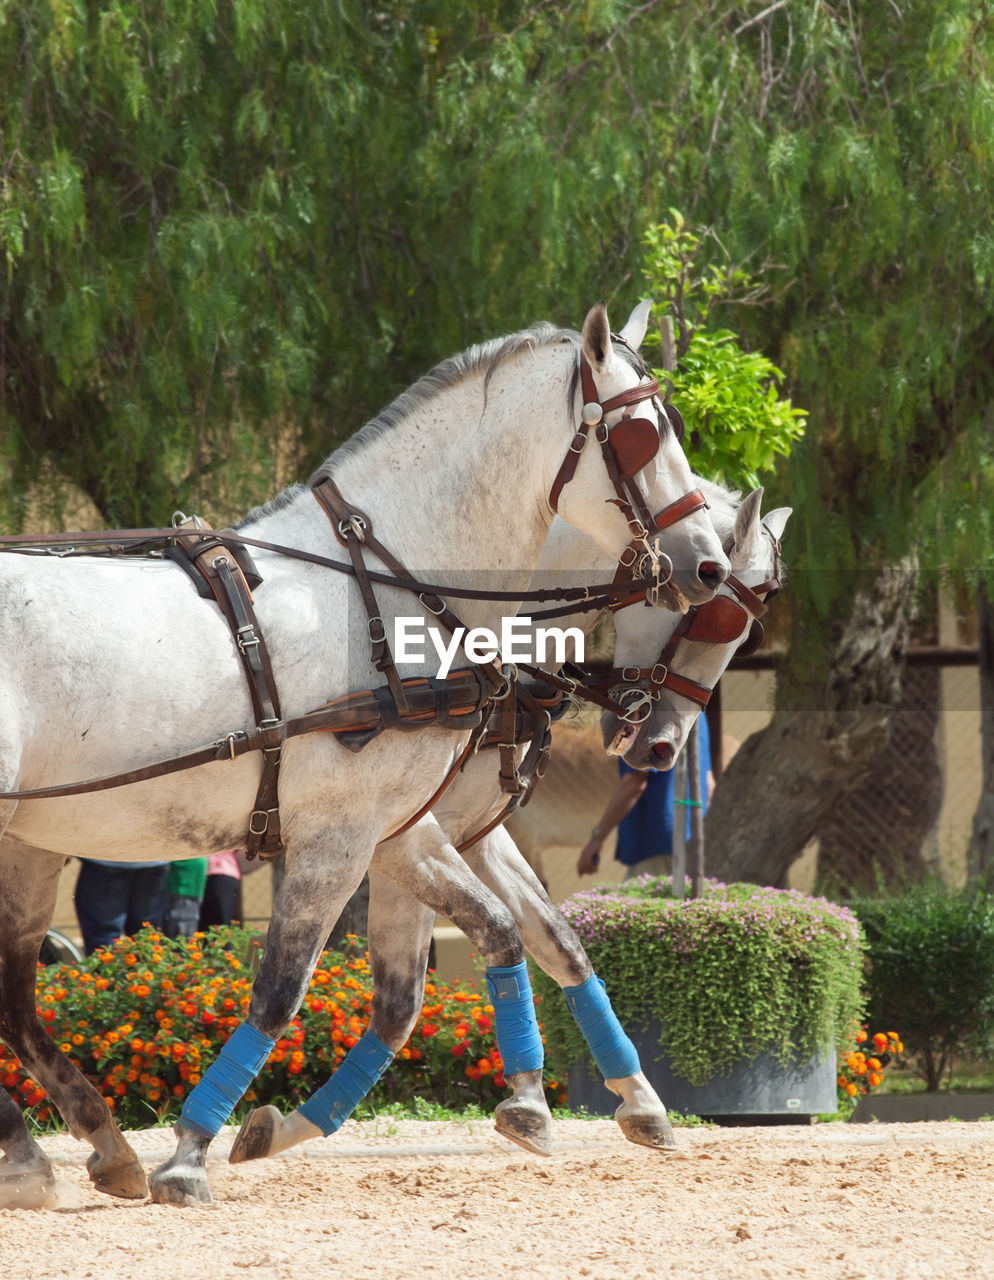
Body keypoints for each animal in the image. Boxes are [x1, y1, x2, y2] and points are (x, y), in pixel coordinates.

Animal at [0, 304, 726, 1203]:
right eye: (640, 434)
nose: (707, 564)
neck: (381, 590)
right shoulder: (339, 837)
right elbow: (281, 994)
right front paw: (192, 1151)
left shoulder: (398, 829)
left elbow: (496, 939)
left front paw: (541, 1105)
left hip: (28, 843)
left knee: (15, 1000)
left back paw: (79, 1146)